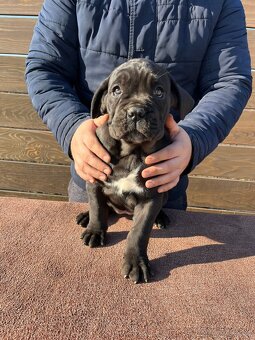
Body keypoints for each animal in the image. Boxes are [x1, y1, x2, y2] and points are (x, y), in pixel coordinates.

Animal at [76, 59, 193, 284]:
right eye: (116, 90)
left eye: (159, 92)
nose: (137, 112)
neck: (133, 152)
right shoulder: (94, 178)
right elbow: (97, 208)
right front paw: (94, 230)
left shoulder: (151, 197)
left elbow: (139, 232)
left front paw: (137, 263)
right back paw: (86, 217)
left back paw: (161, 218)